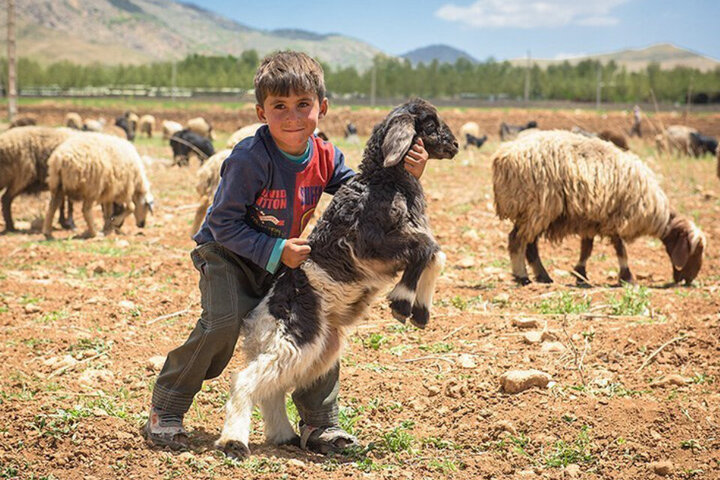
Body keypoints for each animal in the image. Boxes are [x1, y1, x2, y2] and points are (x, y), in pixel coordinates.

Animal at [217, 98, 458, 462]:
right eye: (429, 123)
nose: (455, 145)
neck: (381, 182)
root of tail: (258, 319)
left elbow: (435, 254)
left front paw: (421, 312)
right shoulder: (372, 245)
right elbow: (428, 248)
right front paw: (402, 303)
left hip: (316, 348)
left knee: (272, 388)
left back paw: (283, 436)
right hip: (297, 339)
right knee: (245, 380)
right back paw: (234, 442)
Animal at [492, 129, 704, 286]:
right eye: (697, 251)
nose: (689, 280)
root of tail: (503, 157)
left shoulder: (593, 218)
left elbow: (587, 248)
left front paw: (581, 275)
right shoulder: (616, 217)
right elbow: (620, 249)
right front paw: (627, 277)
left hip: (535, 212)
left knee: (530, 245)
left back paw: (543, 276)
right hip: (537, 207)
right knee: (517, 240)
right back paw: (523, 277)